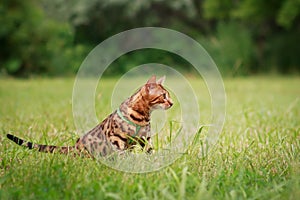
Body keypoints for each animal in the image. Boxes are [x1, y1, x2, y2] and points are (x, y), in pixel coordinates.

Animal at [6, 76, 173, 159]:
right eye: (163, 96)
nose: (172, 103)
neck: (143, 116)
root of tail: (75, 147)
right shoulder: (116, 139)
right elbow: (123, 155)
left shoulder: (146, 139)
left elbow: (151, 152)